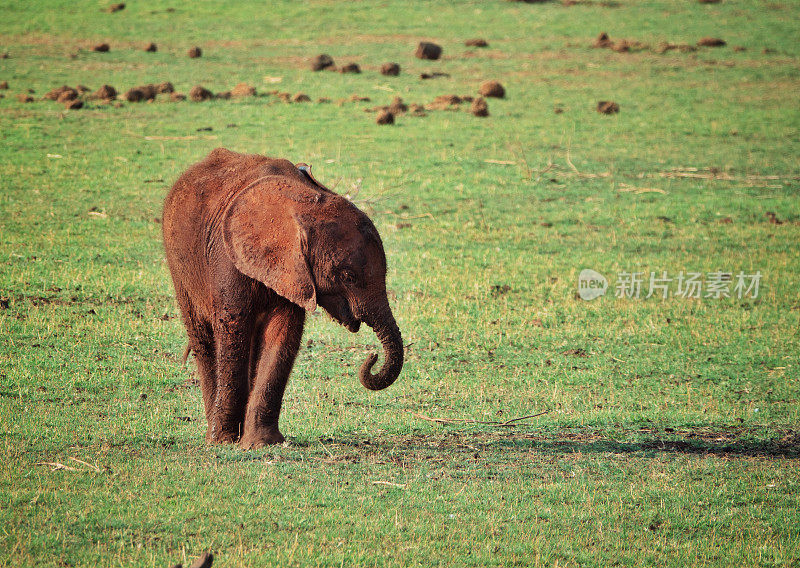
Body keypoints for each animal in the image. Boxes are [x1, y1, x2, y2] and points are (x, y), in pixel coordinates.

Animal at [162, 148, 404, 448]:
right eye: (347, 276)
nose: (371, 357)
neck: (300, 203)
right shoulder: (226, 258)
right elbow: (233, 329)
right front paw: (226, 442)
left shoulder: (294, 272)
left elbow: (283, 334)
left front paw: (263, 443)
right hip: (179, 266)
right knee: (203, 338)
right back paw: (215, 435)